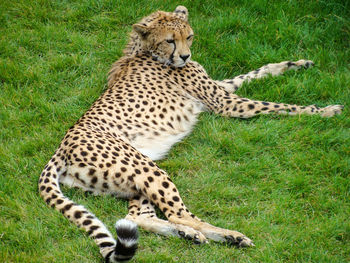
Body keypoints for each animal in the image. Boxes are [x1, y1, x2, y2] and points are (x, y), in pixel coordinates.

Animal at [37, 5, 342, 262]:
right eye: (170, 40)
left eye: (190, 37)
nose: (185, 56)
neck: (144, 51)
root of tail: (61, 148)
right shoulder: (226, 103)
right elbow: (279, 106)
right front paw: (324, 110)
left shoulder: (220, 91)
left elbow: (254, 72)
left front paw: (296, 65)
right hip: (146, 168)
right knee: (178, 213)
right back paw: (229, 236)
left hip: (135, 177)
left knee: (138, 218)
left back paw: (190, 235)